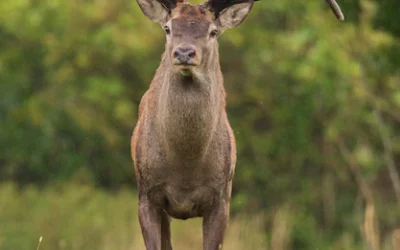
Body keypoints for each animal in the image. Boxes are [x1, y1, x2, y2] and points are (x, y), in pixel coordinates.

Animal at [131, 0, 344, 250]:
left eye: (213, 31)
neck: (185, 168)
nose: (184, 53)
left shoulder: (222, 198)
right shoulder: (147, 195)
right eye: (168, 28)